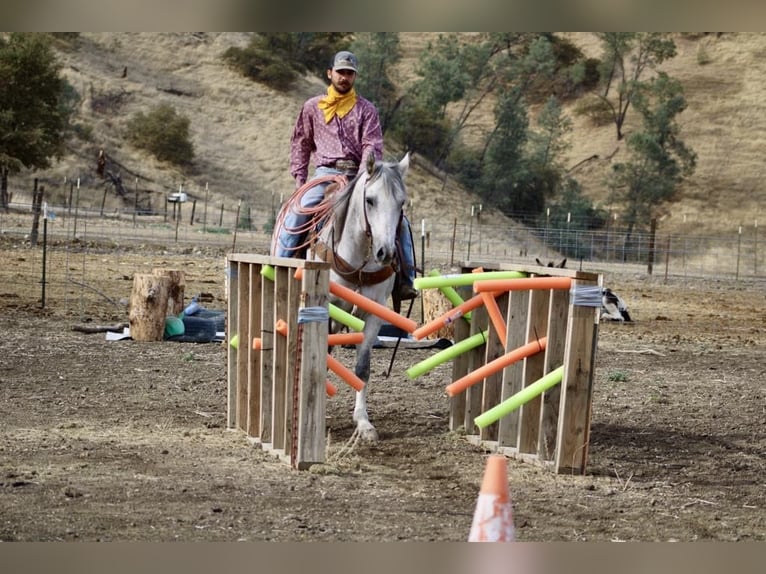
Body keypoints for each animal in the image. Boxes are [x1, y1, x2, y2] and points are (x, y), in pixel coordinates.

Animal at [273, 153, 410, 443]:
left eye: (401, 202)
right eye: (370, 200)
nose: (385, 253)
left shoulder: (374, 314)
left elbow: (362, 368)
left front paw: (364, 422)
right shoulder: (324, 309)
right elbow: (321, 359)